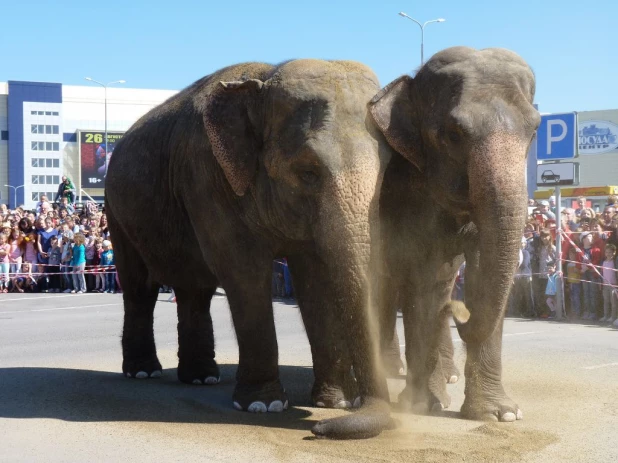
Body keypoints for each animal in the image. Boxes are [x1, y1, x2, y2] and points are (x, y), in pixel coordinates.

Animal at [102, 59, 390, 440]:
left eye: (386, 167)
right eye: (308, 171)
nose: (319, 430)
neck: (263, 79)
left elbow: (315, 279)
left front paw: (334, 403)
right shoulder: (207, 177)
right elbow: (244, 272)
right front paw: (263, 406)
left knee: (194, 290)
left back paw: (201, 378)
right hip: (118, 213)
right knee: (139, 287)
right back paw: (143, 372)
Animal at [366, 48, 540, 424]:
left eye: (534, 129)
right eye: (454, 133)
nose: (459, 313)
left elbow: (480, 270)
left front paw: (500, 415)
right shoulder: (407, 192)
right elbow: (427, 274)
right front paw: (421, 405)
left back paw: (446, 376)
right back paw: (395, 370)